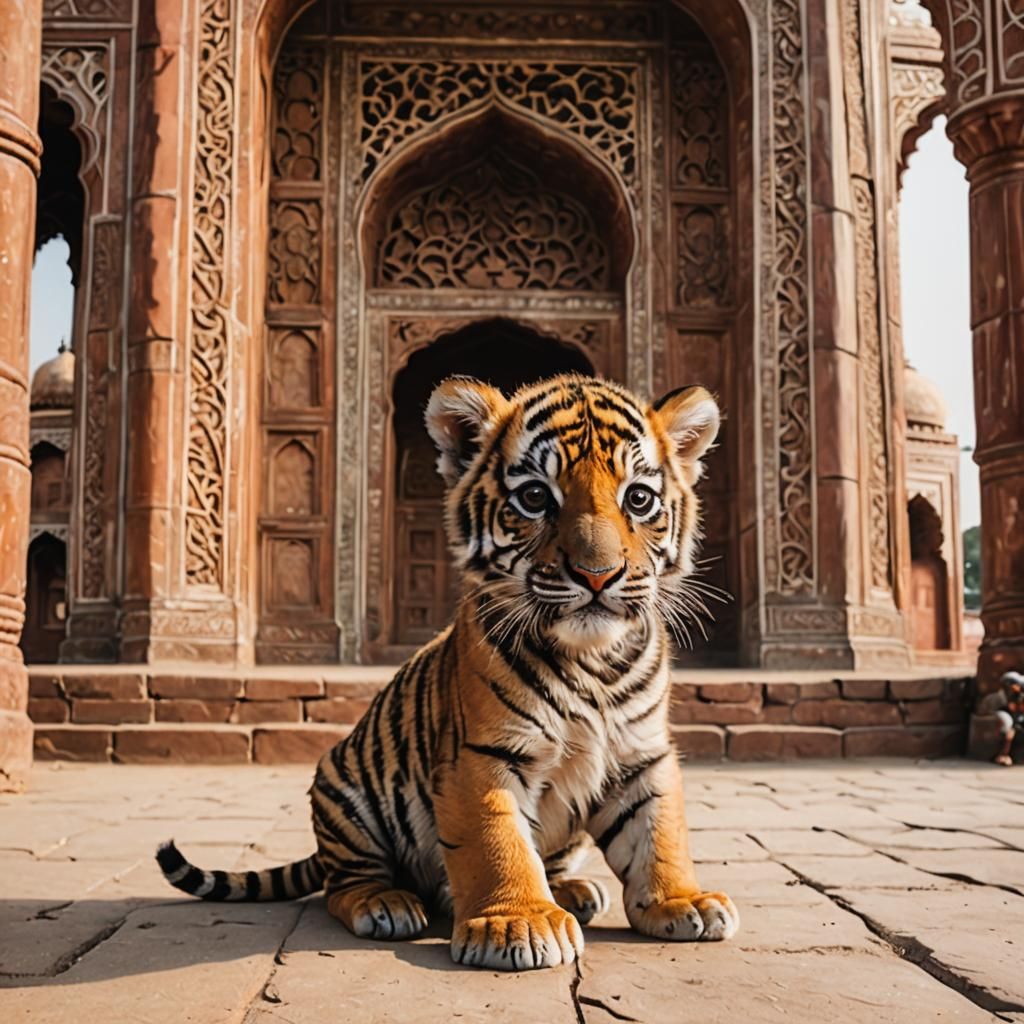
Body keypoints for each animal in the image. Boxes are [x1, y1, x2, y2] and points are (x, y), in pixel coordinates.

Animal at [157, 372, 739, 971]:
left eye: (638, 499)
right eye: (535, 497)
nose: (598, 575)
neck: (594, 659)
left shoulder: (641, 755)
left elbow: (660, 833)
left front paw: (682, 901)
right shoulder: (482, 755)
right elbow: (498, 842)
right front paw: (518, 923)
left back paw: (574, 892)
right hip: (345, 789)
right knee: (343, 884)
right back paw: (385, 903)